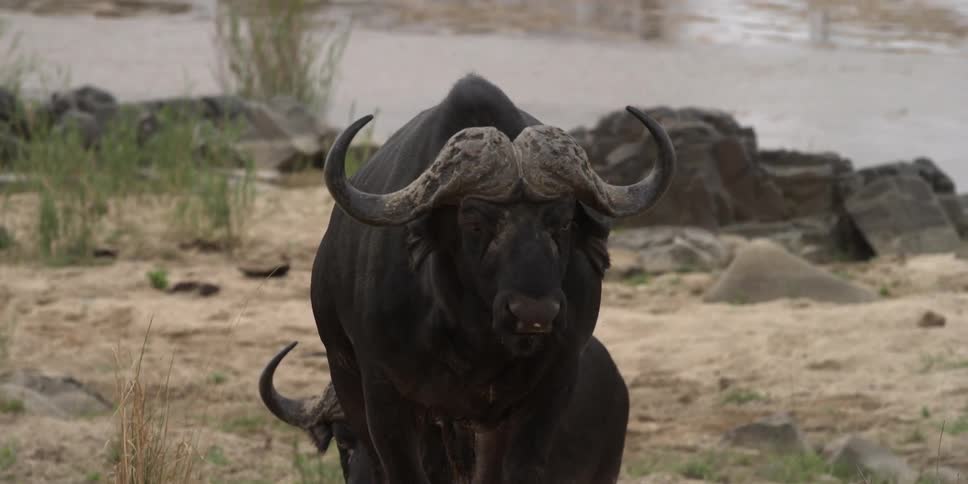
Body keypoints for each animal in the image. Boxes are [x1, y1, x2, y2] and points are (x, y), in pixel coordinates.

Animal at [260, 74, 675, 483]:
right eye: (474, 221)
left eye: (563, 220)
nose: (534, 312)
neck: (474, 338)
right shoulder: (384, 393)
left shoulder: (550, 388)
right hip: (349, 373)